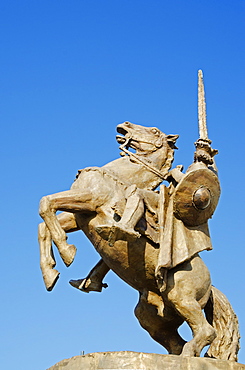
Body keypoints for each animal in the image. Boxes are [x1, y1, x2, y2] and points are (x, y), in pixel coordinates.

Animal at [37, 121, 239, 362]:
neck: (118, 176)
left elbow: (46, 203)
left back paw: (189, 355)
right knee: (175, 342)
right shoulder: (78, 216)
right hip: (152, 317)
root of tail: (211, 288)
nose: (124, 125)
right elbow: (43, 223)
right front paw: (50, 273)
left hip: (181, 297)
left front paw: (67, 252)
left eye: (154, 131)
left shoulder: (90, 200)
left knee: (206, 331)